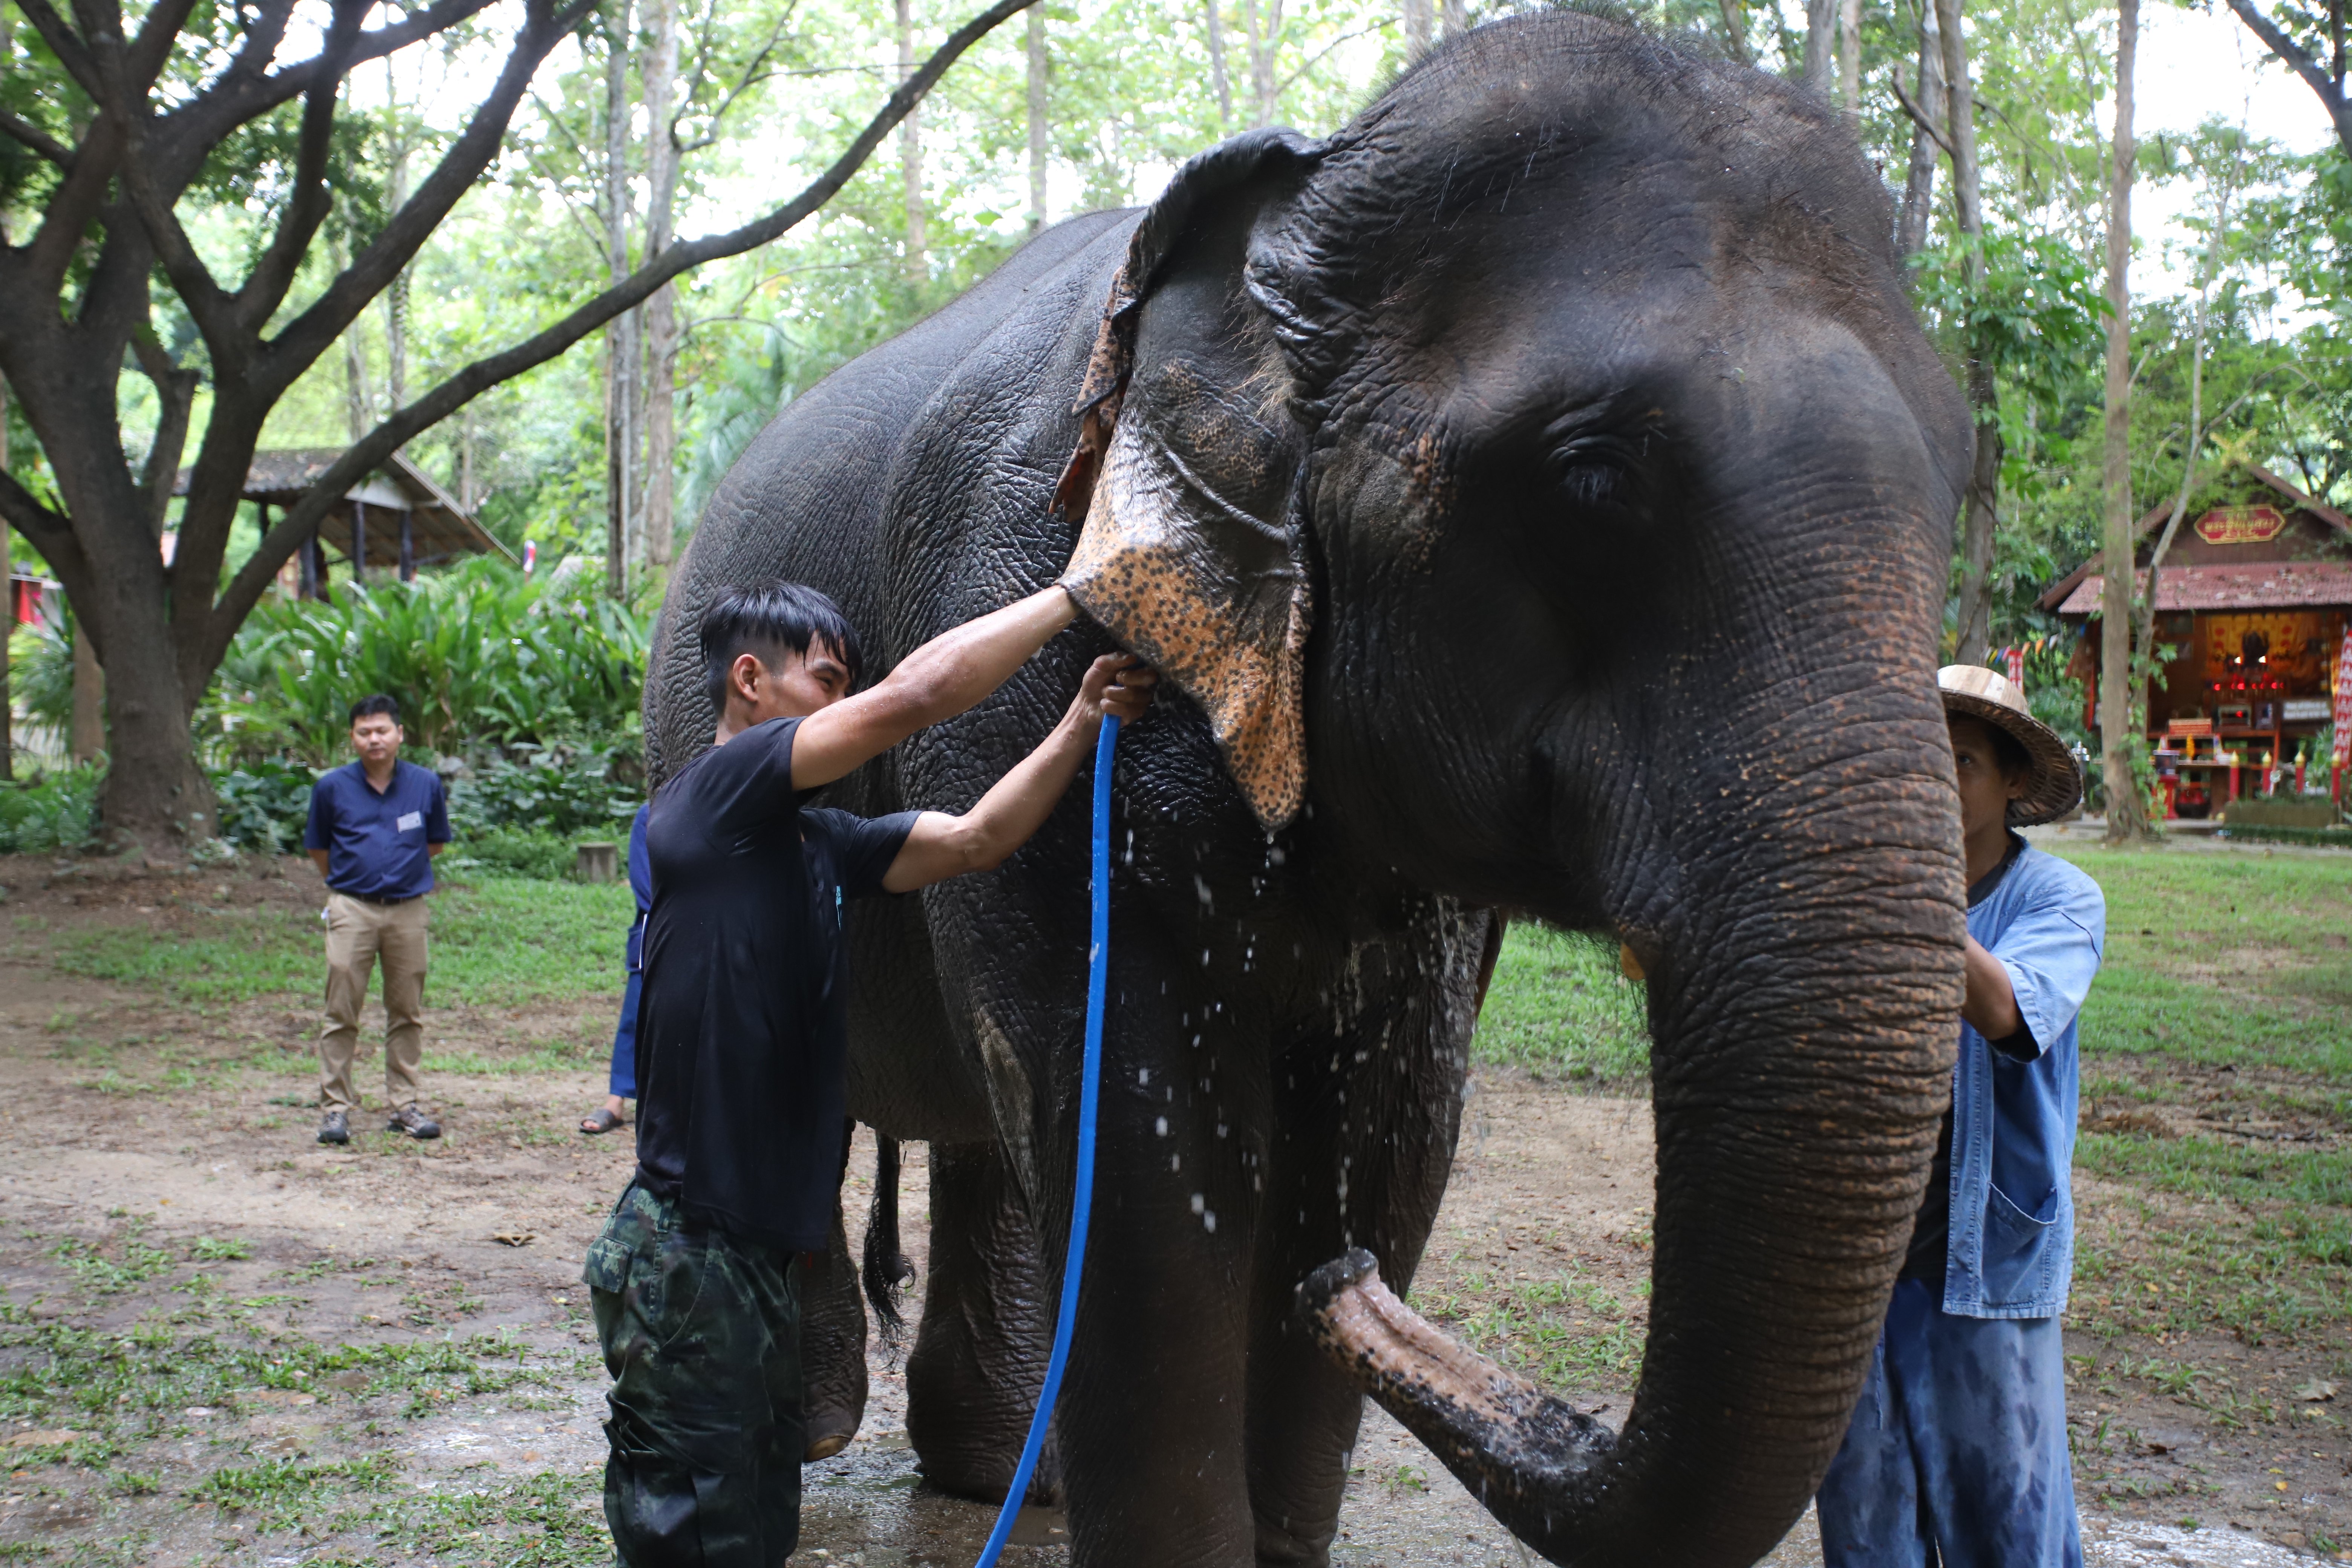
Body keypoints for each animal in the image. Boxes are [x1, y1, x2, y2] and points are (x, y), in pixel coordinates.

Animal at [640, 12, 1966, 1568]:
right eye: (1591, 478)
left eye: (1963, 487)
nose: (1354, 1297)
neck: (1300, 199)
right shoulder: (1015, 653)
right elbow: (1141, 1167)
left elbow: (1396, 1127)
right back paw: (811, 1445)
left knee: (982, 1134)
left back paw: (991, 1472)